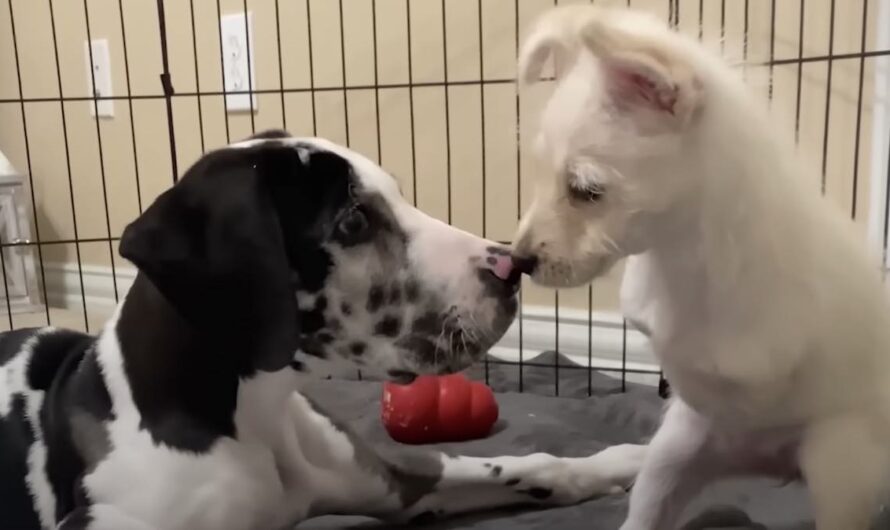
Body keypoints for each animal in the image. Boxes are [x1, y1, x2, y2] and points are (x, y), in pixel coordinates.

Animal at [0, 131, 640, 528]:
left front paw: (622, 463)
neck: (253, 418)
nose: (514, 267)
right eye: (353, 221)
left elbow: (531, 464)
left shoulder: (398, 482)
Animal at [510, 5, 888, 528]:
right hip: (682, 451)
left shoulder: (844, 450)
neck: (684, 261)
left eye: (586, 190)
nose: (517, 261)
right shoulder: (688, 423)